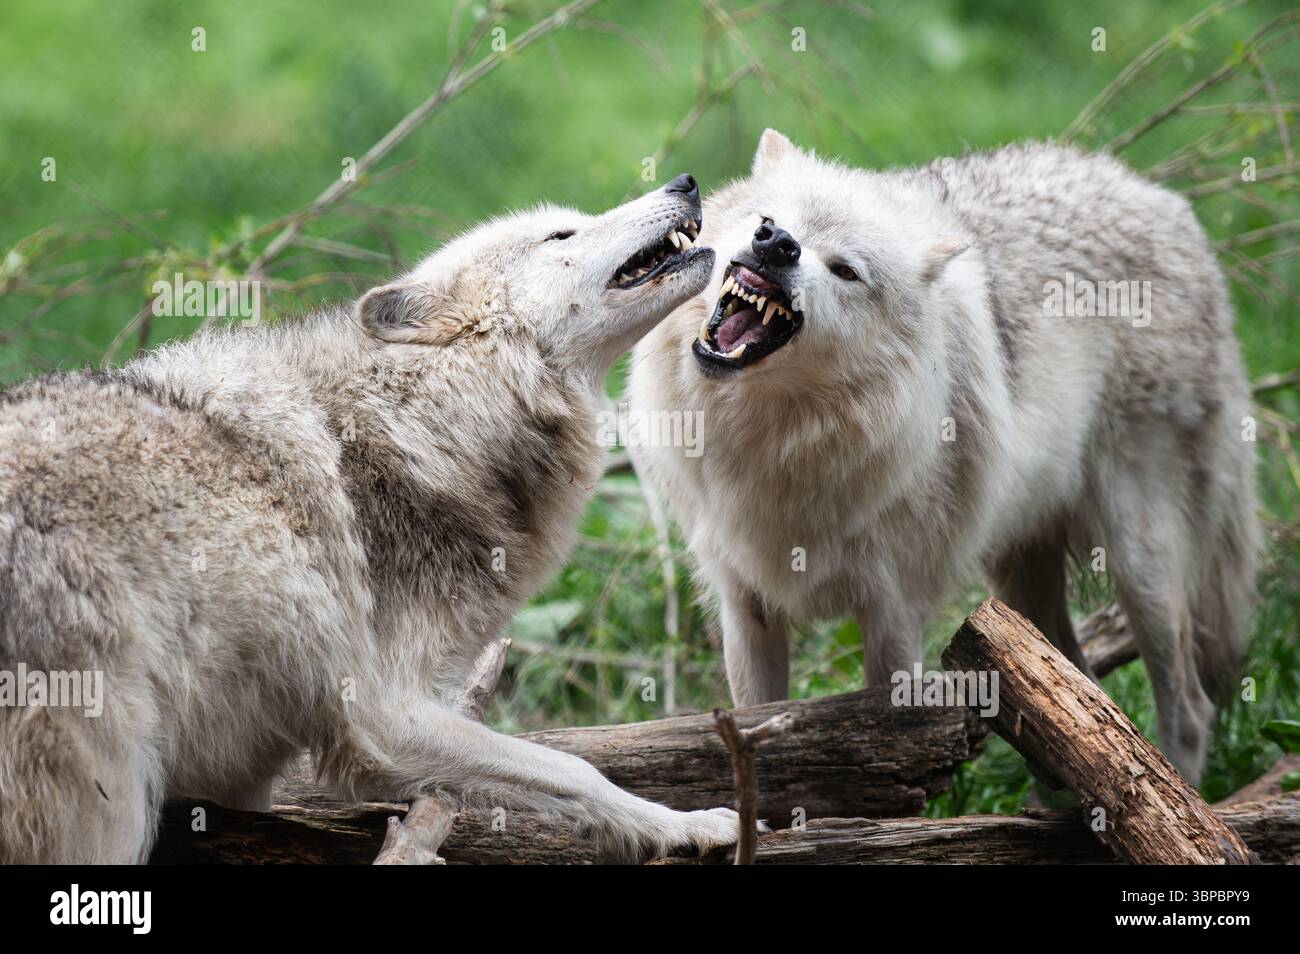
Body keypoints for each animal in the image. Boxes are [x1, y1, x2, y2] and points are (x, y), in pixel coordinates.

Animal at [0, 174, 743, 863]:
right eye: (561, 234)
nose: (685, 182)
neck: (422, 418)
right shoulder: (383, 712)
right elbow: (577, 768)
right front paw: (691, 826)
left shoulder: (242, 767)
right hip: (109, 797)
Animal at [629, 131, 1260, 782]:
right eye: (768, 220)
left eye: (845, 270)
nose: (777, 244)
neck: (772, 442)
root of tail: (1164, 200)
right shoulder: (745, 606)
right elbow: (751, 734)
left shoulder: (894, 614)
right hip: (1015, 584)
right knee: (1077, 696)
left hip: (1140, 565)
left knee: (1189, 705)